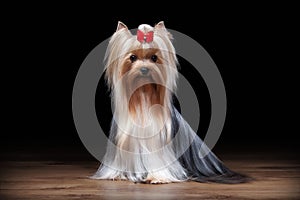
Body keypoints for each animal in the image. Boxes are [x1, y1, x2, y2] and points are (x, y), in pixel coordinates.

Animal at [91, 21, 248, 184]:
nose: (144, 69)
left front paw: (157, 177)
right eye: (132, 57)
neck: (143, 96)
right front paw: (117, 175)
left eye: (154, 58)